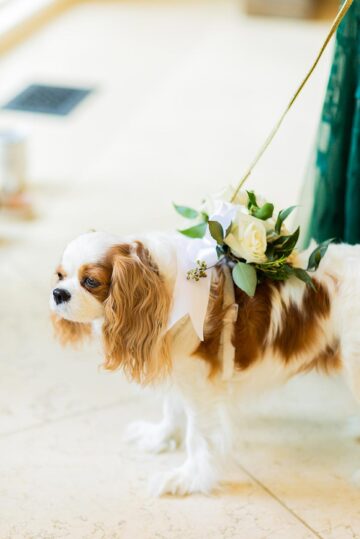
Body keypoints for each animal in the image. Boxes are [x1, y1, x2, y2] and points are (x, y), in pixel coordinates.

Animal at [50, 230, 360, 496]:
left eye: (91, 281)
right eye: (60, 275)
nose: (58, 293)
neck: (164, 291)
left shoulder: (202, 388)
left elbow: (198, 436)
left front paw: (188, 479)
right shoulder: (179, 367)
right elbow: (172, 408)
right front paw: (160, 436)